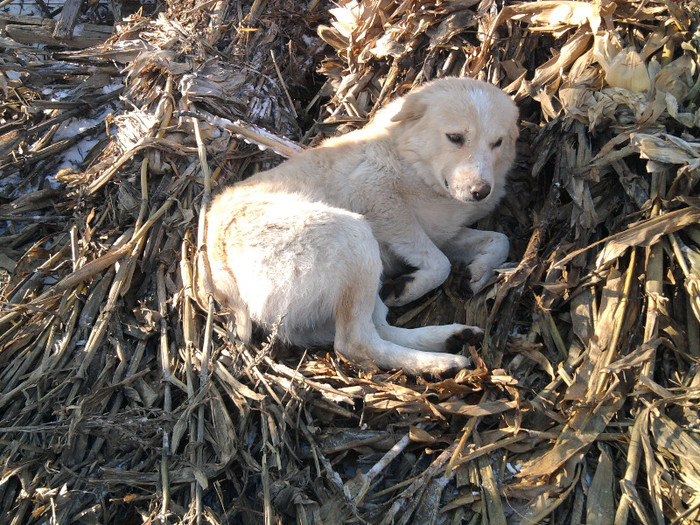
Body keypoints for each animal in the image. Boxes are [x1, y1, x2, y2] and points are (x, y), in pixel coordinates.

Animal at [200, 75, 516, 374]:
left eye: (497, 143)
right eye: (455, 137)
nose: (481, 191)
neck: (413, 163)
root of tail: (215, 255)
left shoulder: (444, 233)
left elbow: (499, 241)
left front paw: (478, 273)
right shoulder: (380, 202)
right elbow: (441, 263)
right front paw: (412, 288)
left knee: (380, 327)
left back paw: (452, 337)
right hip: (355, 236)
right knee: (355, 343)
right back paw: (439, 363)